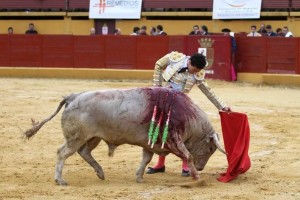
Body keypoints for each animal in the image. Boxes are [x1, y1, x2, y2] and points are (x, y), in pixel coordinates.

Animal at [24, 87, 225, 186]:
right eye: (211, 148)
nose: (201, 167)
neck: (188, 116)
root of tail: (73, 97)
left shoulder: (150, 144)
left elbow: (146, 159)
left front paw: (139, 177)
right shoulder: (174, 140)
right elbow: (188, 156)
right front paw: (198, 178)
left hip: (93, 137)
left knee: (84, 152)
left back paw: (100, 173)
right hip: (77, 137)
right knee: (62, 153)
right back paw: (60, 180)